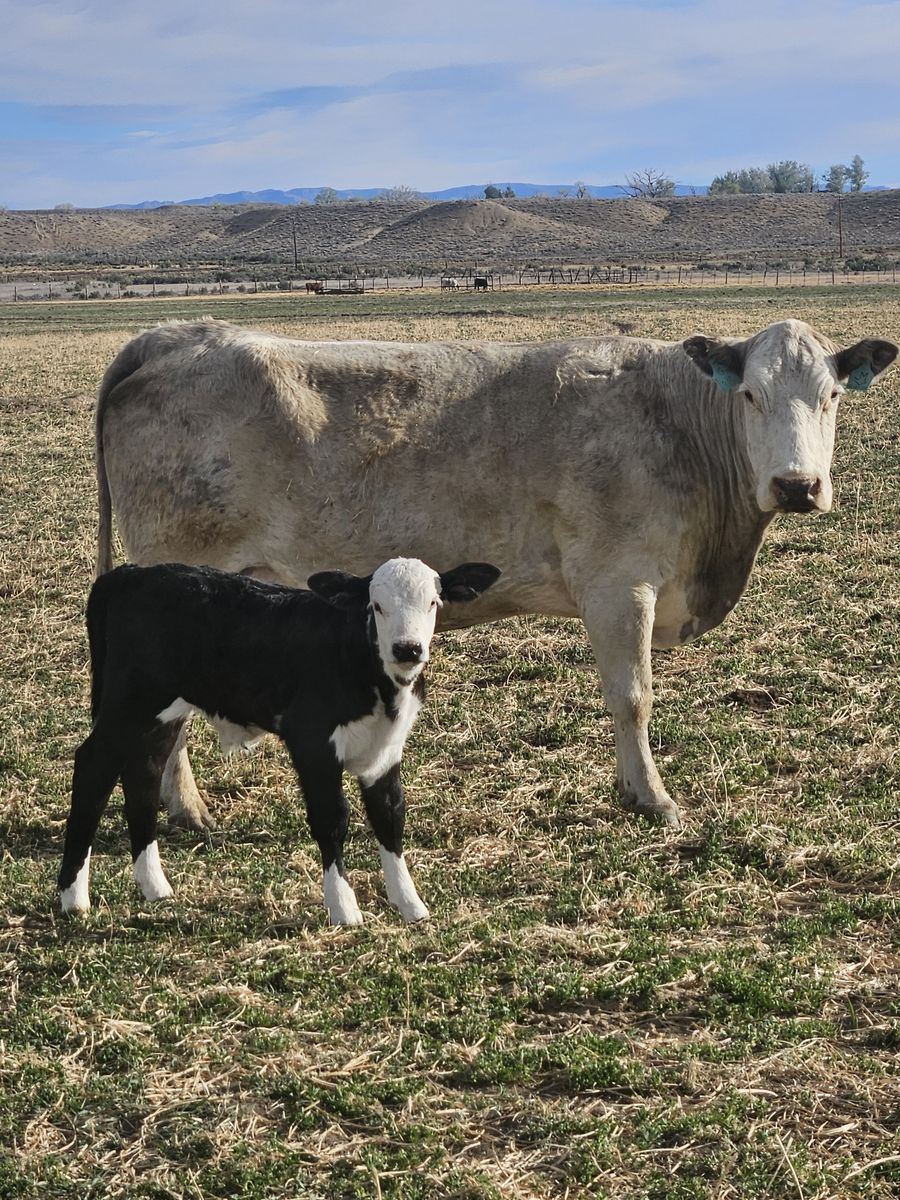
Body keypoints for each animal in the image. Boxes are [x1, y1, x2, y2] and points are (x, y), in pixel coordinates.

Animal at [57, 557, 500, 923]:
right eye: (376, 606)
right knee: (92, 767)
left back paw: (155, 887)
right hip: (127, 704)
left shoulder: (386, 752)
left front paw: (410, 904)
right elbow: (332, 818)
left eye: (433, 603)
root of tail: (129, 574)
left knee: (144, 776)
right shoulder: (312, 742)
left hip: (161, 715)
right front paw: (344, 908)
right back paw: (73, 897)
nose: (407, 649)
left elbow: (390, 817)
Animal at [92, 318, 898, 832]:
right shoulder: (620, 585)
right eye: (751, 394)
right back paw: (189, 810)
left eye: (831, 396)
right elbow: (632, 697)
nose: (797, 485)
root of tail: (173, 334)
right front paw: (653, 798)